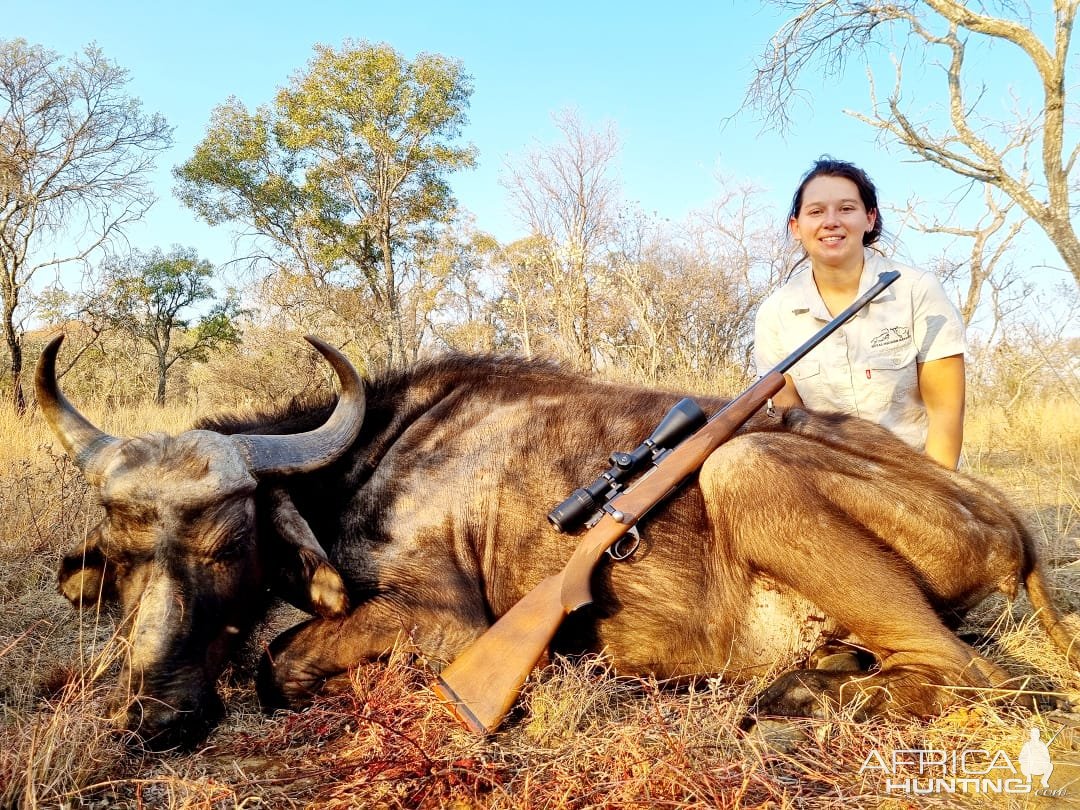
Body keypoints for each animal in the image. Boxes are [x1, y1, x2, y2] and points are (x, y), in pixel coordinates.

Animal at [38, 334, 1075, 747]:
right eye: (123, 561)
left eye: (222, 549)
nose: (153, 717)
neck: (375, 447)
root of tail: (1011, 530)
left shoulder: (447, 629)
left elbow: (278, 662)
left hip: (744, 466)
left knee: (982, 679)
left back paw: (807, 698)